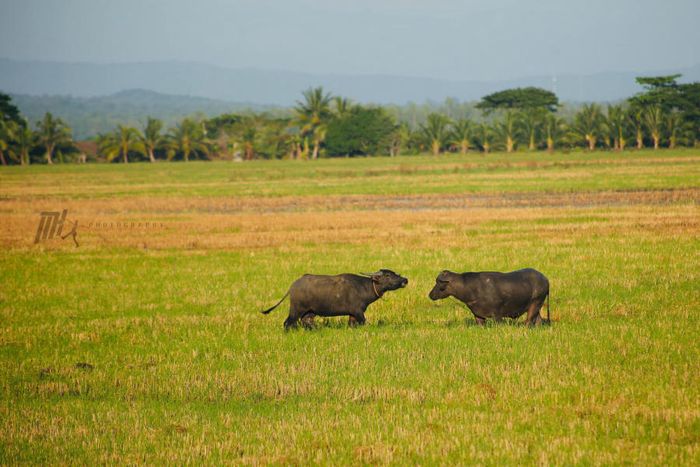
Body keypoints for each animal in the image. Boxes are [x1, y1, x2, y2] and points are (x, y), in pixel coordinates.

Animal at [260, 270, 408, 330]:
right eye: (387, 275)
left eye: (394, 273)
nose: (405, 280)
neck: (363, 287)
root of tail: (293, 286)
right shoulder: (358, 312)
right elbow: (363, 322)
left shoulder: (352, 314)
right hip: (296, 309)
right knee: (288, 323)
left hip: (310, 312)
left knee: (306, 321)